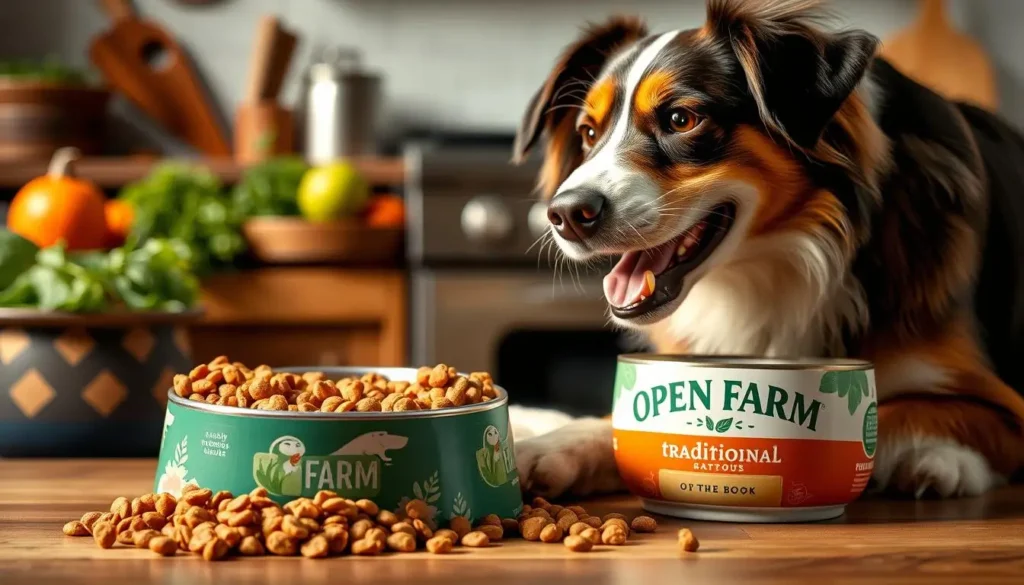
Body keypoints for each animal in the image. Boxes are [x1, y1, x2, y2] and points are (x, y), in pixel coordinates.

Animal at [509, 0, 1024, 502]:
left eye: (680, 119)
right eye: (589, 133)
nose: (565, 214)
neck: (789, 259)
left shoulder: (1006, 408)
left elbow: (889, 413)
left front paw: (938, 462)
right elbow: (623, 420)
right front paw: (549, 444)